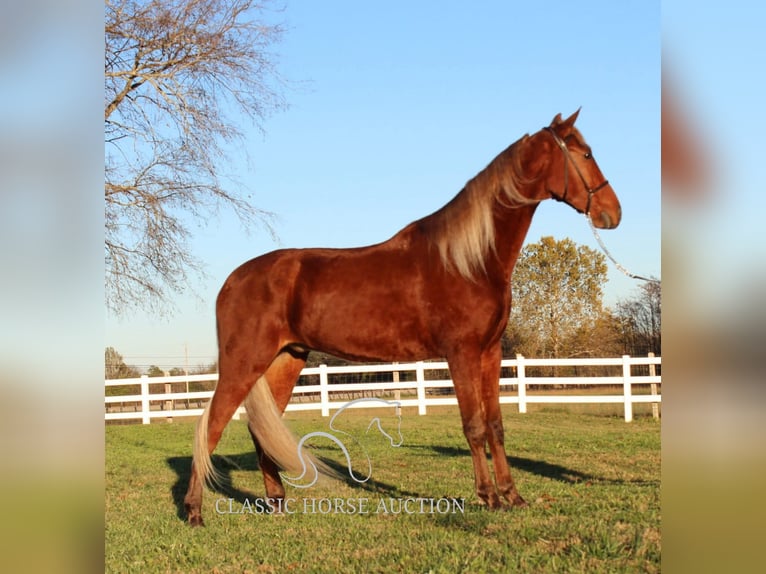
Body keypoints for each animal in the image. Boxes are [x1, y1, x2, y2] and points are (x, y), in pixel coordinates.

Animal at [186, 110, 624, 528]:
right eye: (585, 154)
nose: (613, 213)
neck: (469, 260)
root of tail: (231, 280)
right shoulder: (461, 353)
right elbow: (474, 425)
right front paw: (489, 497)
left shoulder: (490, 352)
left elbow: (496, 425)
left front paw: (513, 496)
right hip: (243, 363)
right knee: (210, 426)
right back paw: (194, 512)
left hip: (286, 361)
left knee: (260, 430)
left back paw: (277, 503)